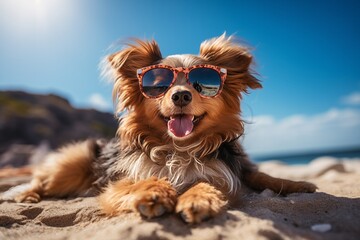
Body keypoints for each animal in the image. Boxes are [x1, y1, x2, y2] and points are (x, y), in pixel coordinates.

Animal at [15, 34, 316, 224]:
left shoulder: (231, 171)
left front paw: (198, 198)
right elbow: (140, 181)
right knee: (42, 181)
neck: (179, 147)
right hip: (73, 164)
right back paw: (27, 195)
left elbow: (242, 178)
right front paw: (154, 193)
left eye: (201, 82)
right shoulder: (117, 183)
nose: (180, 95)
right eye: (158, 83)